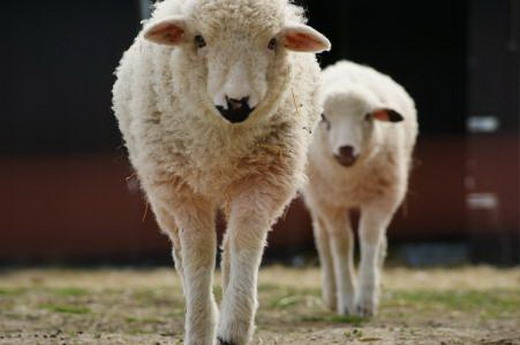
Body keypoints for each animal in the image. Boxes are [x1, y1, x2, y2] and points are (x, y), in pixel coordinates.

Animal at [110, 0, 330, 344]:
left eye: (272, 42)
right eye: (199, 40)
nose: (237, 103)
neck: (223, 142)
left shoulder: (262, 182)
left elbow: (244, 244)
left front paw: (233, 328)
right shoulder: (183, 191)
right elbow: (199, 253)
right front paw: (200, 328)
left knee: (229, 250)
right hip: (161, 195)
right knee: (180, 251)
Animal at [300, 59, 418, 318]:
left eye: (367, 117)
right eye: (324, 117)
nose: (346, 149)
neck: (349, 178)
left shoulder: (383, 198)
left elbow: (369, 238)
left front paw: (365, 301)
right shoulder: (329, 203)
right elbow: (342, 244)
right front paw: (346, 301)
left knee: (380, 242)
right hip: (316, 199)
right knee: (323, 240)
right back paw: (332, 296)